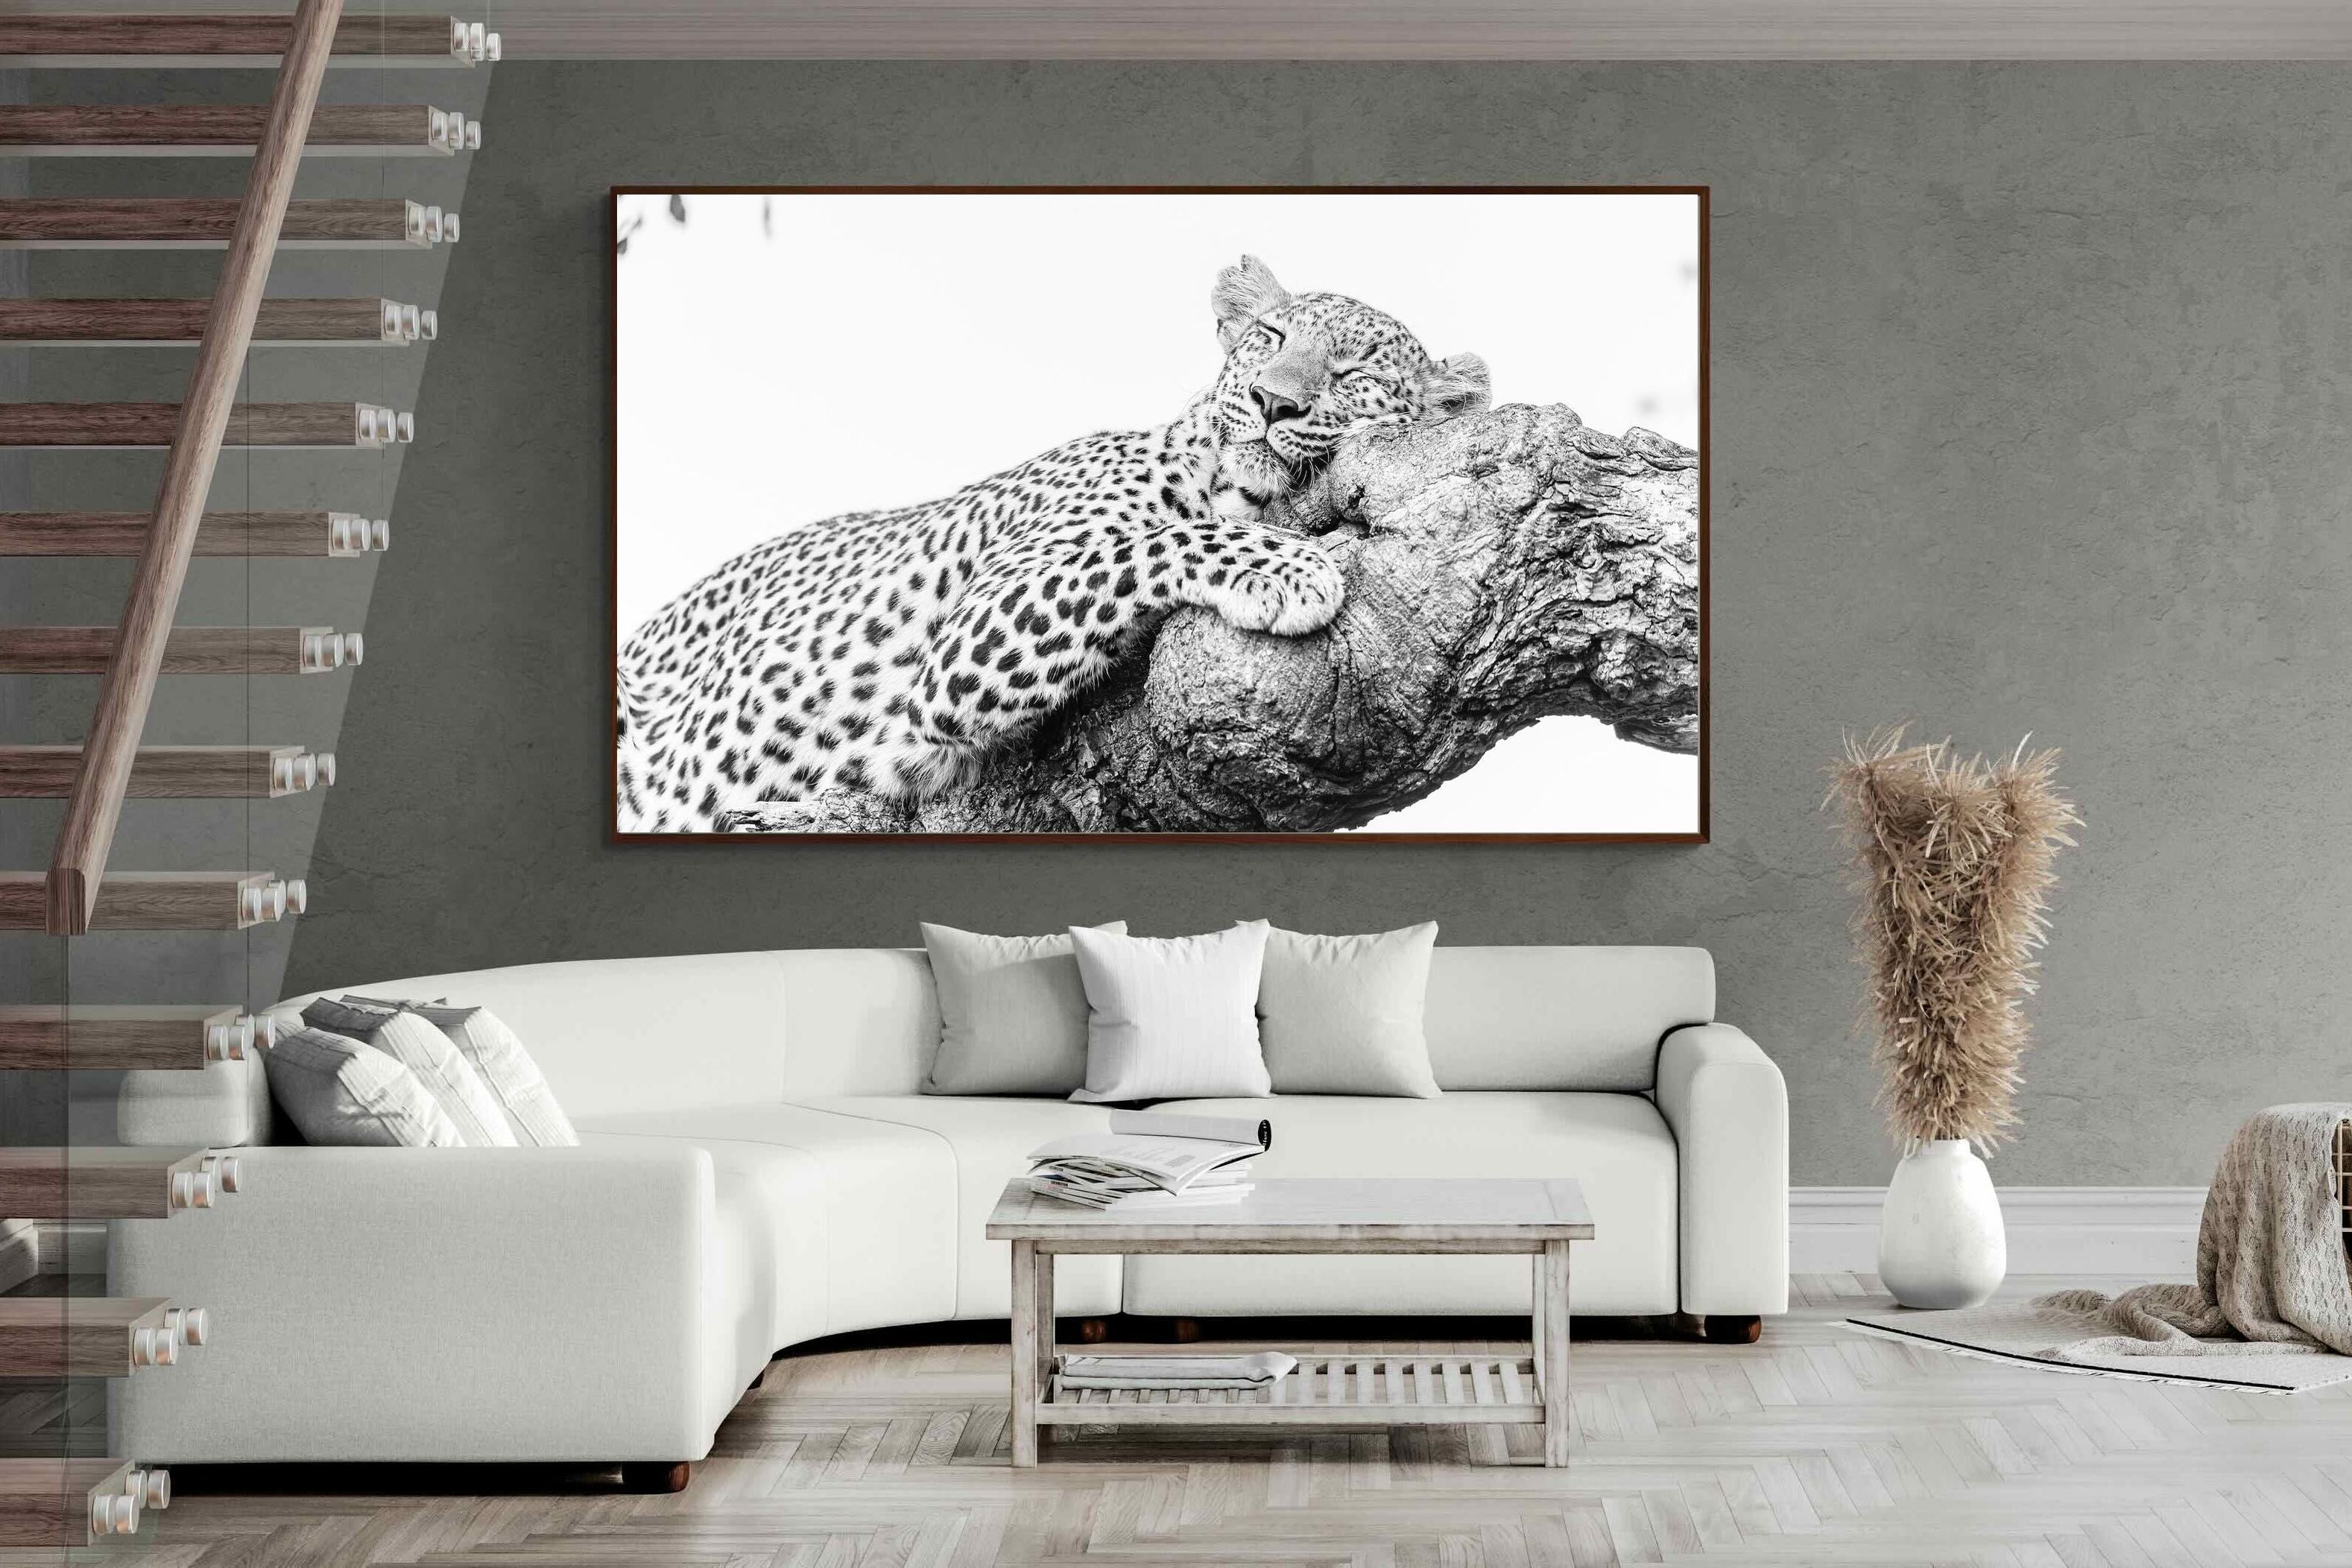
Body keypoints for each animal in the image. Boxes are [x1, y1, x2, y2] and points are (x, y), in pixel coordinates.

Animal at [616, 255, 1490, 832]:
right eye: (1270, 337)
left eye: (1353, 374)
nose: (1272, 402)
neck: (1225, 477)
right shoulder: (961, 649)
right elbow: (1152, 541)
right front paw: (1291, 566)